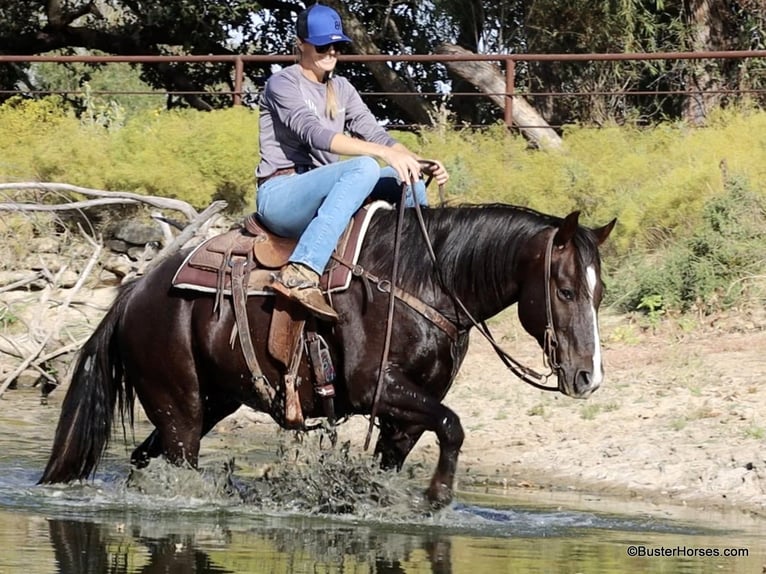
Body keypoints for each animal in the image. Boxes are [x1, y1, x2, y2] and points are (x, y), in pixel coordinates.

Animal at [39, 203, 616, 509]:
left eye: (599, 291)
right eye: (566, 290)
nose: (588, 377)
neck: (422, 282)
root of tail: (134, 292)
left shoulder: (406, 416)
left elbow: (416, 448)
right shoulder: (377, 389)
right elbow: (454, 425)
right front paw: (437, 494)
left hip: (209, 404)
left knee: (144, 458)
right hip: (179, 410)